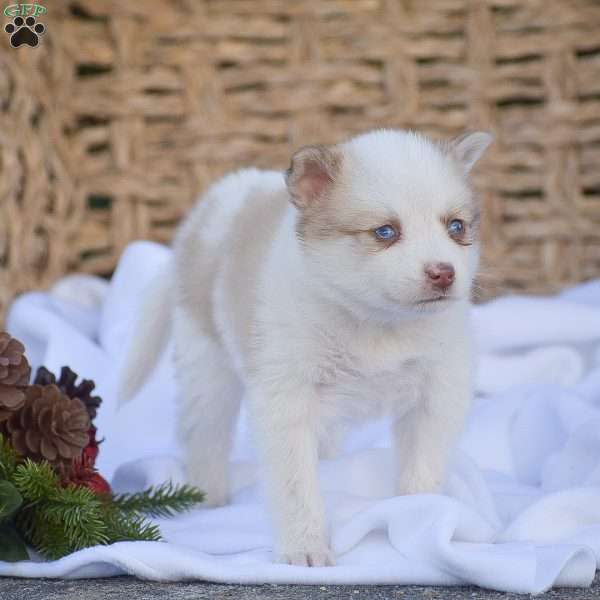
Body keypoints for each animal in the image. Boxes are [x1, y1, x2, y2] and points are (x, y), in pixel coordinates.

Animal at [118, 126, 492, 568]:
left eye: (456, 227)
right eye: (386, 232)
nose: (443, 273)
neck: (376, 323)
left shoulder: (437, 392)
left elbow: (422, 467)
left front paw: (420, 520)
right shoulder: (285, 399)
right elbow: (296, 486)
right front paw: (305, 547)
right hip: (207, 363)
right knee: (205, 435)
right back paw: (210, 498)